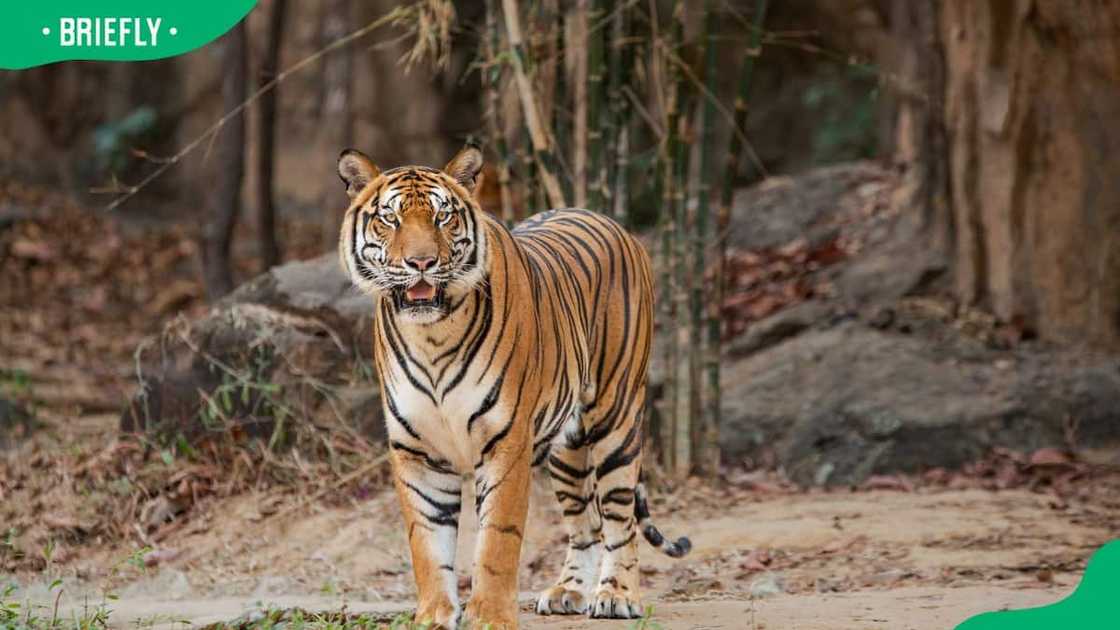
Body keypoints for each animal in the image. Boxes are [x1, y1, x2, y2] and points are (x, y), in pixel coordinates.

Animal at [336, 143, 689, 627]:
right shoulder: (416, 450)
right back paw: (568, 591)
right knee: (585, 522)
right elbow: (426, 541)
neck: (431, 335)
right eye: (389, 219)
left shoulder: (506, 441)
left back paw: (616, 595)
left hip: (615, 420)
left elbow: (497, 540)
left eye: (442, 218)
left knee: (619, 518)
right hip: (568, 447)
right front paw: (433, 615)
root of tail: (610, 220)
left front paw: (488, 616)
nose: (422, 263)